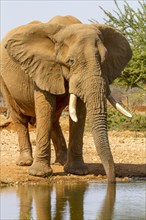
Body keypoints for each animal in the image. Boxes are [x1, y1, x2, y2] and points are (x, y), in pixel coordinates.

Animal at [0, 14, 132, 181]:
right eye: (71, 61)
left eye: (104, 60)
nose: (112, 180)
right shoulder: (42, 67)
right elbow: (45, 107)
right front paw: (39, 174)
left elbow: (79, 112)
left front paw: (77, 171)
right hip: (4, 82)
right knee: (21, 118)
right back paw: (25, 162)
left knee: (54, 118)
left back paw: (61, 161)